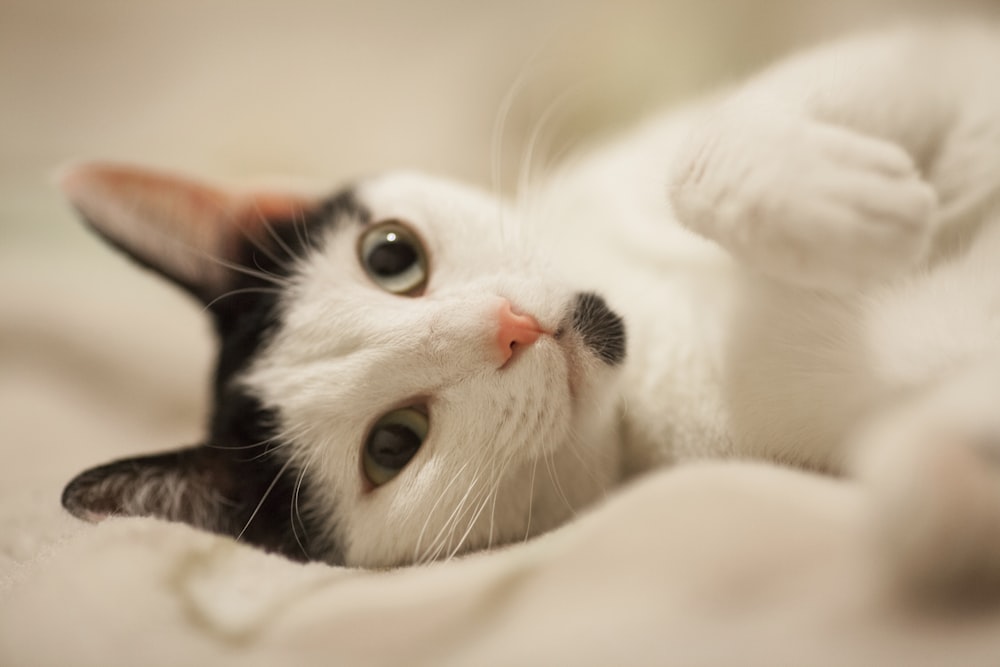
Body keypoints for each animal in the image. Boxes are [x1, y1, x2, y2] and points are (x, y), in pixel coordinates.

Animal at [58, 23, 1000, 572]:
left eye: (390, 255)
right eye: (393, 444)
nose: (508, 328)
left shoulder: (912, 55)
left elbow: (716, 143)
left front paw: (840, 200)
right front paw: (947, 498)